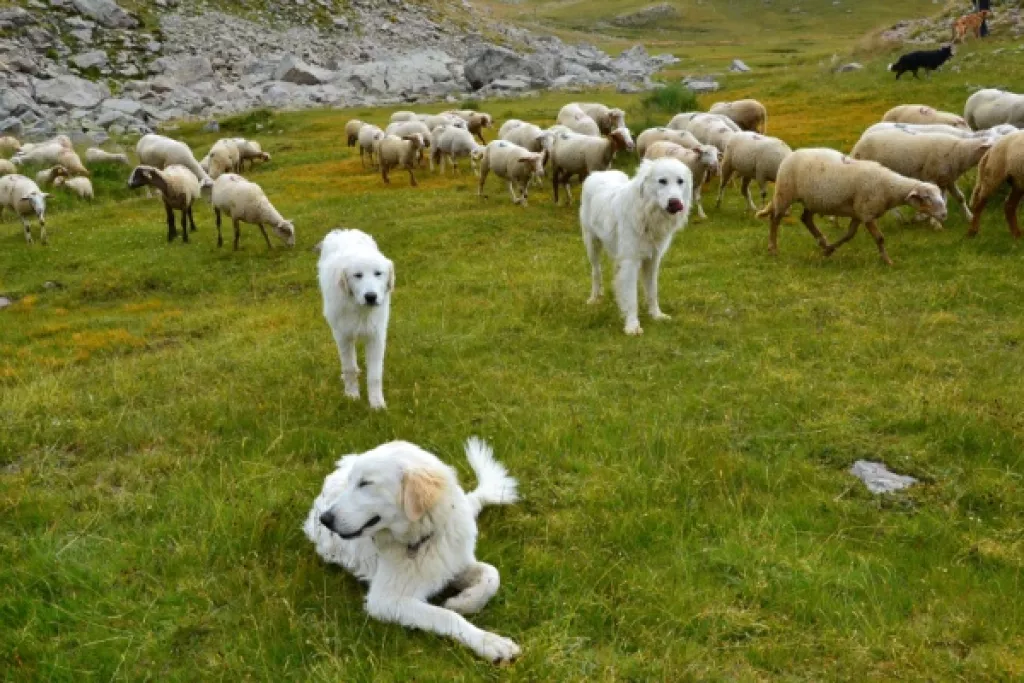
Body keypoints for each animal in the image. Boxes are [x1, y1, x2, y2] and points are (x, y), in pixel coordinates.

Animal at [299, 438, 516, 663]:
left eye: (365, 483)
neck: (423, 539)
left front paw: (462, 602)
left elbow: (492, 575)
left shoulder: (452, 565)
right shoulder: (384, 600)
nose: (325, 519)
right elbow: (445, 616)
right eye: (352, 482)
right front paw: (489, 642)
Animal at [317, 229, 393, 411]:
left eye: (378, 273)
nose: (371, 297)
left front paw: (377, 403)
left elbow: (375, 375)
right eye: (358, 275)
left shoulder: (376, 335)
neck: (359, 308)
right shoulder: (343, 336)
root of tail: (343, 231)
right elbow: (349, 367)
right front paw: (352, 396)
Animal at [581, 157, 692, 333]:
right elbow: (632, 297)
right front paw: (632, 325)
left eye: (680, 181)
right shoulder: (631, 261)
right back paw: (594, 299)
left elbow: (652, 291)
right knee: (596, 272)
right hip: (592, 245)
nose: (675, 203)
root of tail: (598, 173)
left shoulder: (653, 260)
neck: (647, 213)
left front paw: (656, 315)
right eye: (662, 181)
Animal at [757, 148, 946, 266]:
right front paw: (887, 261)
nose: (944, 214)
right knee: (775, 219)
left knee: (806, 219)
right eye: (927, 197)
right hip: (785, 192)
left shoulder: (858, 213)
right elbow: (880, 238)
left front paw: (829, 251)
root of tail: (789, 156)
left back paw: (823, 242)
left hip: (812, 200)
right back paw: (773, 248)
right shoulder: (867, 212)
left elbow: (849, 235)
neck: (888, 187)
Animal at [847, 129, 991, 220]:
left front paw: (969, 217)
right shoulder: (931, 177)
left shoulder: (947, 180)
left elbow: (960, 198)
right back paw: (899, 217)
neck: (959, 152)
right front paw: (930, 219)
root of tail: (857, 145)